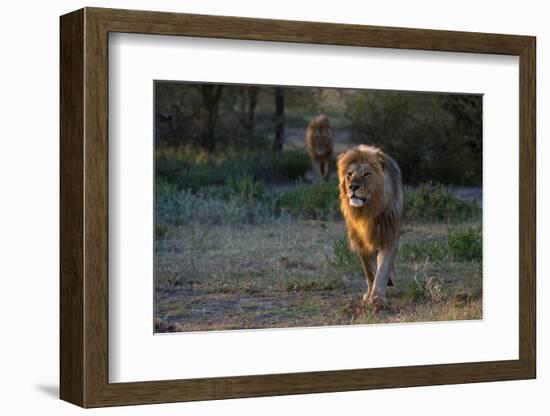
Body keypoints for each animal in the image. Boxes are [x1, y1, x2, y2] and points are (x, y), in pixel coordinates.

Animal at [336, 145, 406, 308]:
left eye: (367, 174)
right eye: (349, 174)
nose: (353, 187)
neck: (368, 211)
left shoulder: (389, 237)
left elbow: (383, 269)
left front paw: (378, 298)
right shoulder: (360, 241)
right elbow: (369, 270)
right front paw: (370, 294)